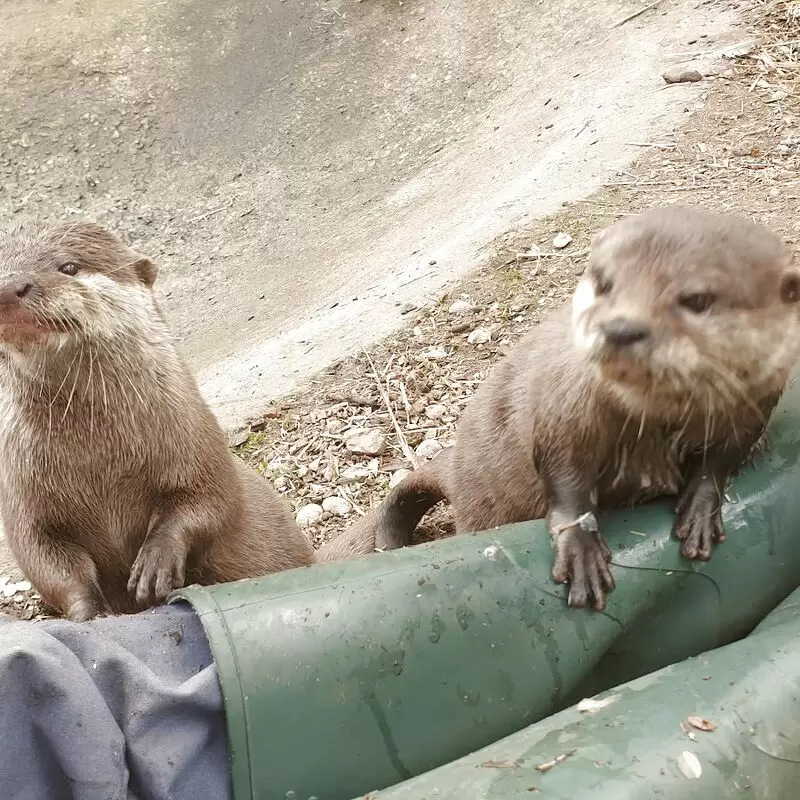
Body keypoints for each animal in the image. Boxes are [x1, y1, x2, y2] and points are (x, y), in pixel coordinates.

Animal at [0, 222, 316, 620]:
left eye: (68, 266)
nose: (8, 287)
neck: (100, 459)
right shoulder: (20, 494)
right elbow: (44, 559)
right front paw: (89, 612)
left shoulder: (196, 440)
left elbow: (212, 500)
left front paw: (156, 561)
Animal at [326, 208, 800, 612]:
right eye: (604, 282)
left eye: (698, 299)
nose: (621, 327)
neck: (655, 426)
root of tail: (457, 463)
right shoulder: (566, 406)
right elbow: (564, 474)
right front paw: (580, 551)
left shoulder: (754, 407)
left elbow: (720, 461)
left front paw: (701, 509)